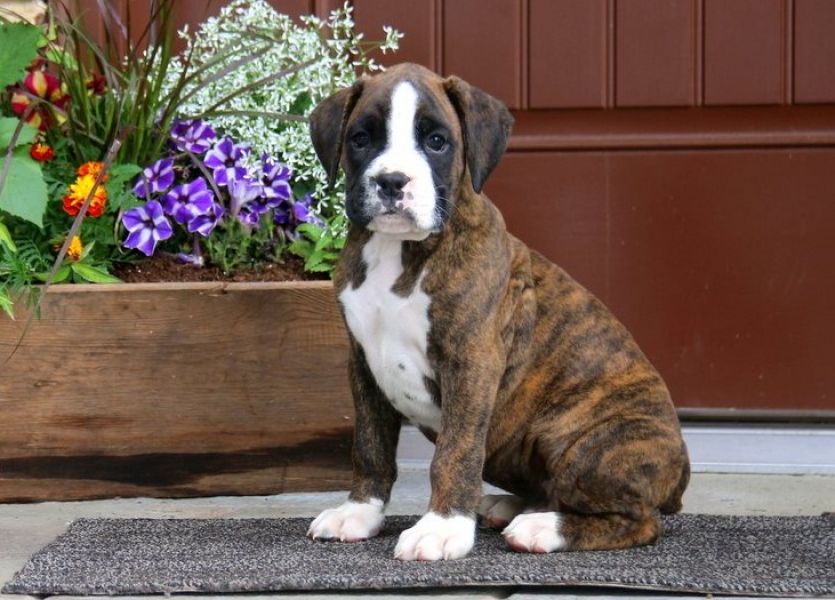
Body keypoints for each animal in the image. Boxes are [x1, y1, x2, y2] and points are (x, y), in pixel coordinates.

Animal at [306, 63, 690, 561]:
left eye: (436, 141)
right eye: (360, 138)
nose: (391, 181)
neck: (399, 250)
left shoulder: (471, 363)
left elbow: (456, 451)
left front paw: (442, 527)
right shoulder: (364, 364)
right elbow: (370, 445)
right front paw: (359, 512)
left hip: (587, 443)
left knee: (639, 521)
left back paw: (542, 528)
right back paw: (509, 507)